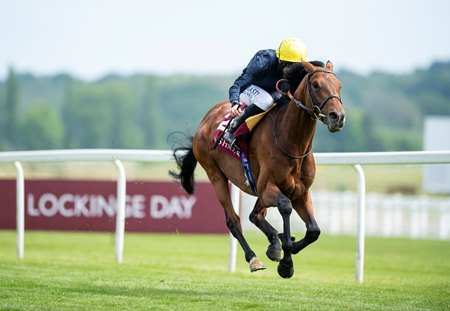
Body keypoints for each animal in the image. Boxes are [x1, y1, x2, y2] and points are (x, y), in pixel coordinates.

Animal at [171, 60, 346, 278]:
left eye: (339, 86)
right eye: (316, 85)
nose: (337, 117)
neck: (291, 142)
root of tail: (206, 118)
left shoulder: (300, 192)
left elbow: (314, 230)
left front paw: (287, 245)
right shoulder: (268, 187)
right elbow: (285, 207)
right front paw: (286, 262)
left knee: (255, 215)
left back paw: (274, 243)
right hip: (216, 175)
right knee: (234, 220)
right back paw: (254, 258)